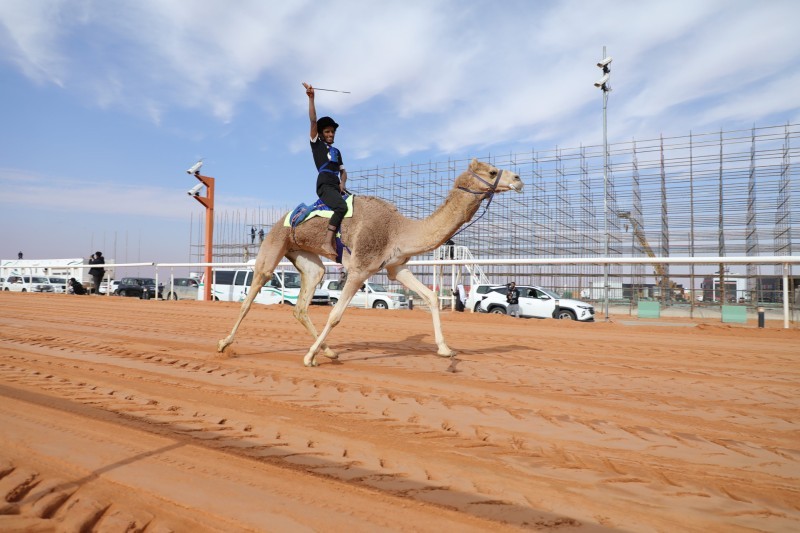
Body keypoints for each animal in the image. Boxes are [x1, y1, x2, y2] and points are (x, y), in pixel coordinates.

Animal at [216, 158, 520, 366]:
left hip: (308, 260)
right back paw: (223, 343)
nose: (518, 178)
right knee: (250, 296)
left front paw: (446, 350)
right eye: (492, 172)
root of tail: (282, 219)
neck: (399, 229)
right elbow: (336, 315)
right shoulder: (360, 268)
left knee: (302, 303)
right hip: (273, 247)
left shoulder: (395, 266)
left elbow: (431, 297)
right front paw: (308, 358)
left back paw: (330, 350)